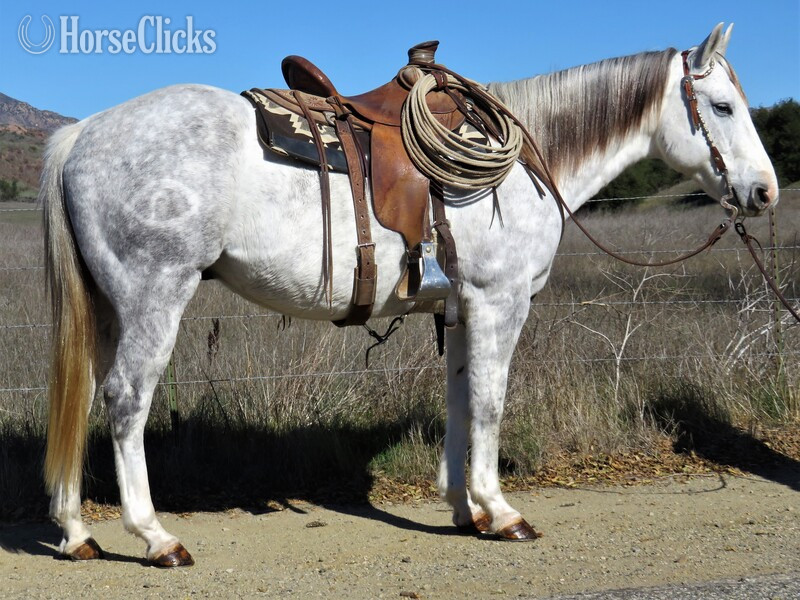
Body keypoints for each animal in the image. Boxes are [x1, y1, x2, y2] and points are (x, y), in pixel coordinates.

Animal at [41, 23, 777, 566]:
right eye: (721, 106)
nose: (765, 191)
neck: (527, 162)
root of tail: (84, 133)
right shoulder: (500, 301)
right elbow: (489, 403)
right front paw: (501, 511)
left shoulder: (460, 309)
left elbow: (459, 400)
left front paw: (463, 508)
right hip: (154, 296)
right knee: (125, 400)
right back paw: (155, 537)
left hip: (107, 308)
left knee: (83, 393)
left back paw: (77, 533)